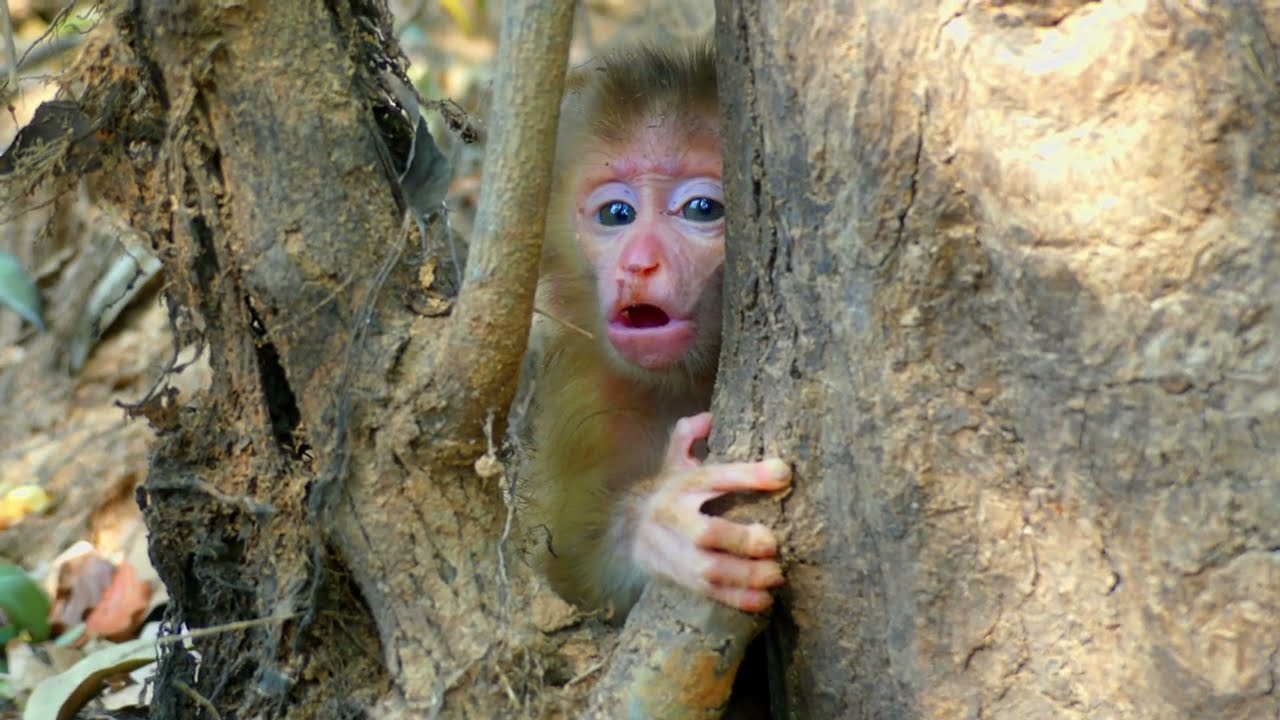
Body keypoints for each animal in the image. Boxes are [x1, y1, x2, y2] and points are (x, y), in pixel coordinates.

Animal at [524, 41, 791, 620]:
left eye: (702, 209)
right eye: (616, 214)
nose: (638, 264)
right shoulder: (594, 398)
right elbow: (572, 576)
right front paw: (659, 526)